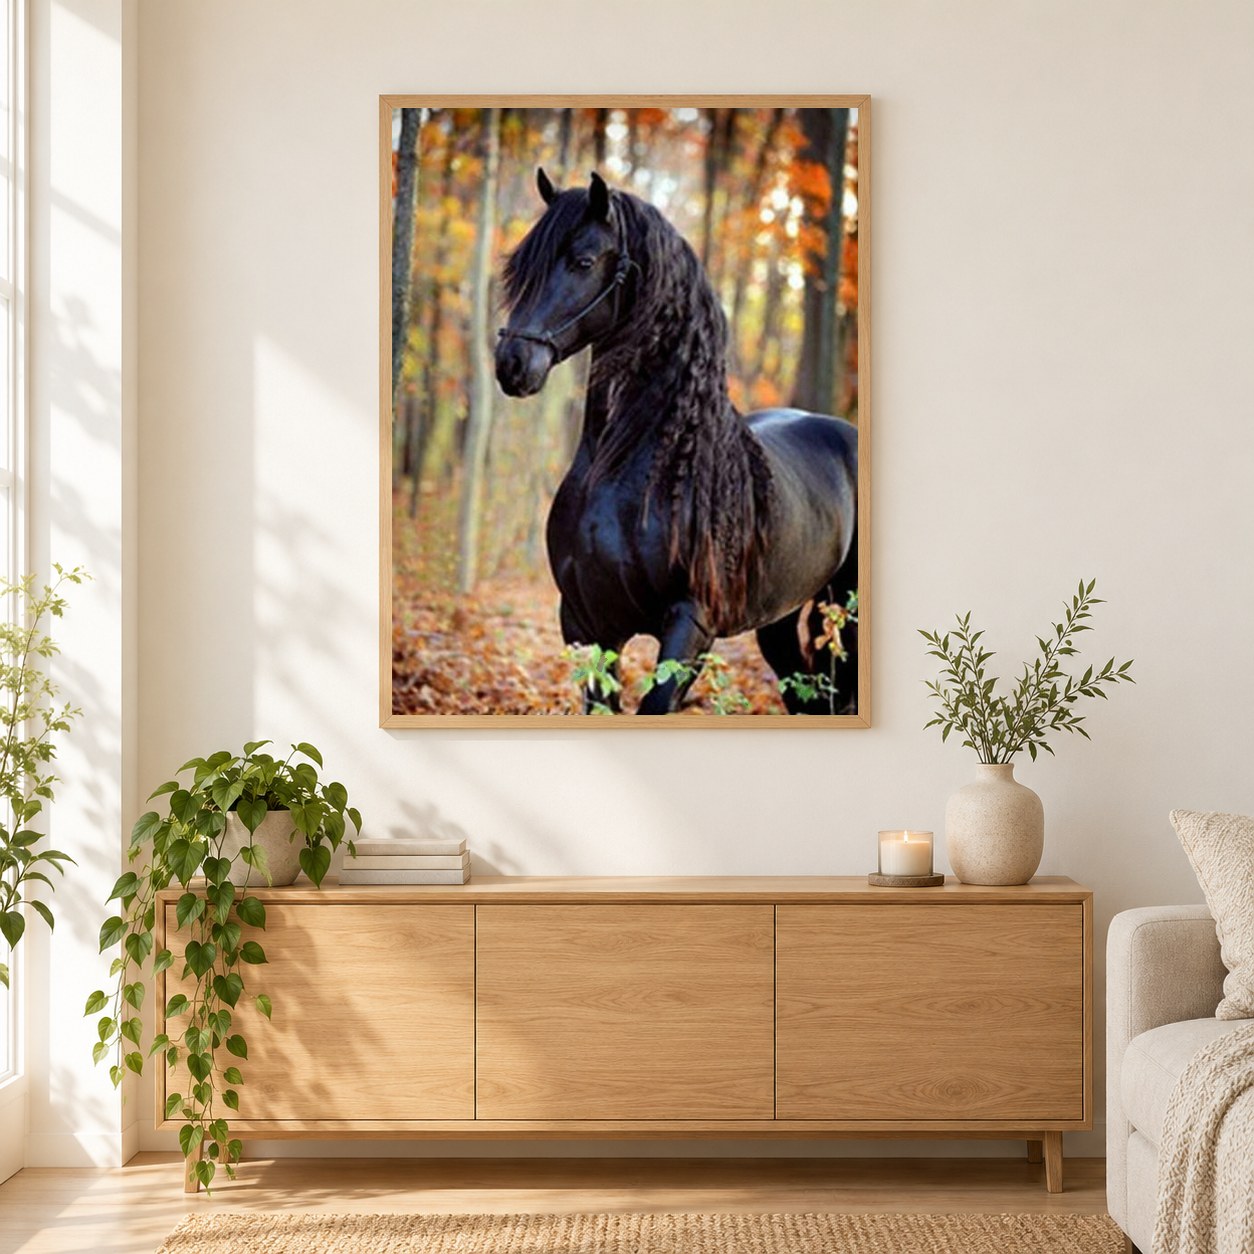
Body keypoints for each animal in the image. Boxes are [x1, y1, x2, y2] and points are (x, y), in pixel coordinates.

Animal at [494, 169, 858, 716]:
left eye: (583, 261)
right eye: (520, 267)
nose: (512, 364)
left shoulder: (691, 625)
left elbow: (656, 702)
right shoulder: (586, 624)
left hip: (847, 607)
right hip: (777, 620)